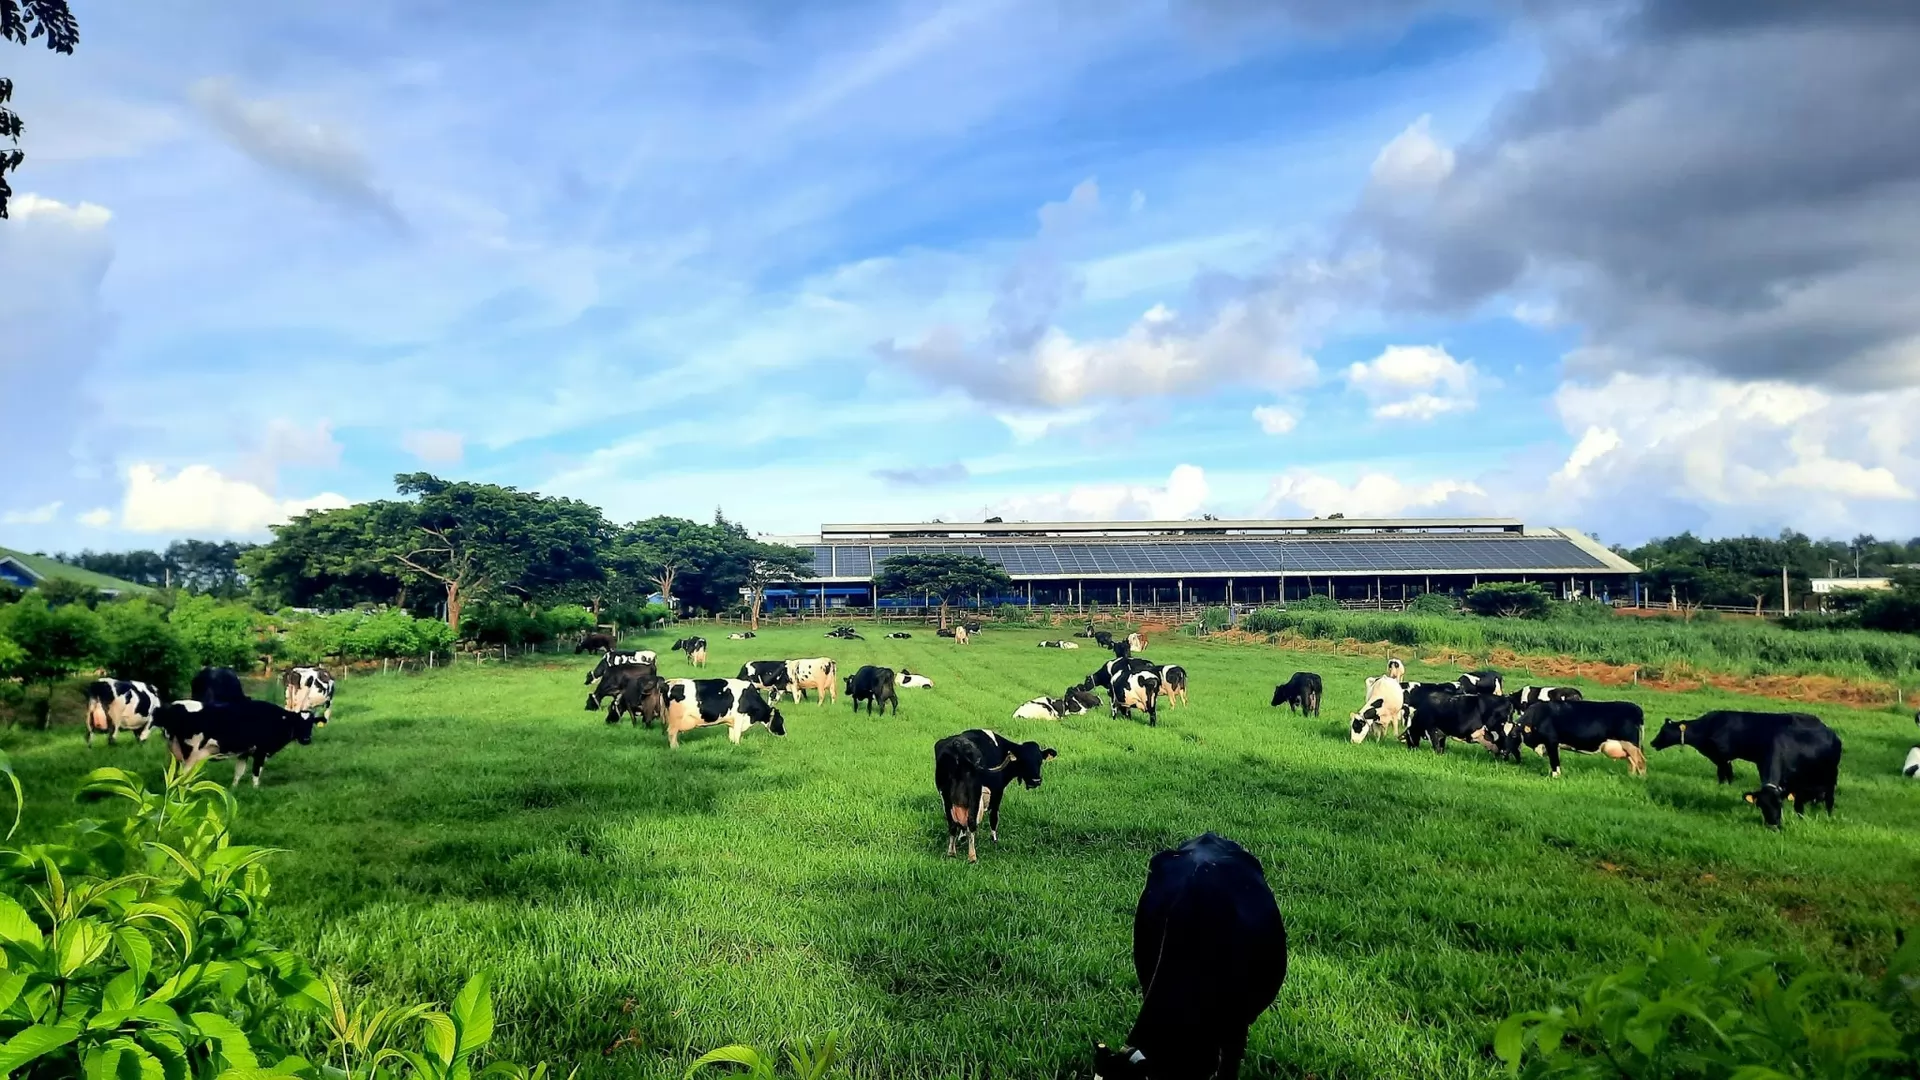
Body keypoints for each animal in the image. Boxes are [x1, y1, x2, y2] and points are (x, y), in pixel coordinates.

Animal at [149, 691, 316, 787]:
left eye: (311, 723)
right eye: (299, 723)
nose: (307, 739)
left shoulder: (245, 752)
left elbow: (238, 773)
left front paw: (234, 788)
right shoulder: (261, 752)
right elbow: (256, 773)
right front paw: (256, 789)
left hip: (175, 750)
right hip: (191, 753)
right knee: (184, 776)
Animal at [925, 726, 1052, 860]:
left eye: (1040, 760)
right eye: (1023, 761)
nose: (1036, 781)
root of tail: (957, 744)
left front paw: (962, 837)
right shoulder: (998, 790)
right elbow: (994, 816)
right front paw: (994, 839)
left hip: (945, 794)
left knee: (952, 823)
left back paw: (951, 852)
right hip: (974, 791)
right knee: (971, 821)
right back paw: (972, 856)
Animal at [1497, 699, 1651, 772]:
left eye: (1514, 735)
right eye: (1503, 734)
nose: (1503, 751)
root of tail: (1636, 708)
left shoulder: (1551, 742)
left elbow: (1554, 762)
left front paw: (1555, 776)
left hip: (1631, 744)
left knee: (1640, 762)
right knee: (1632, 762)